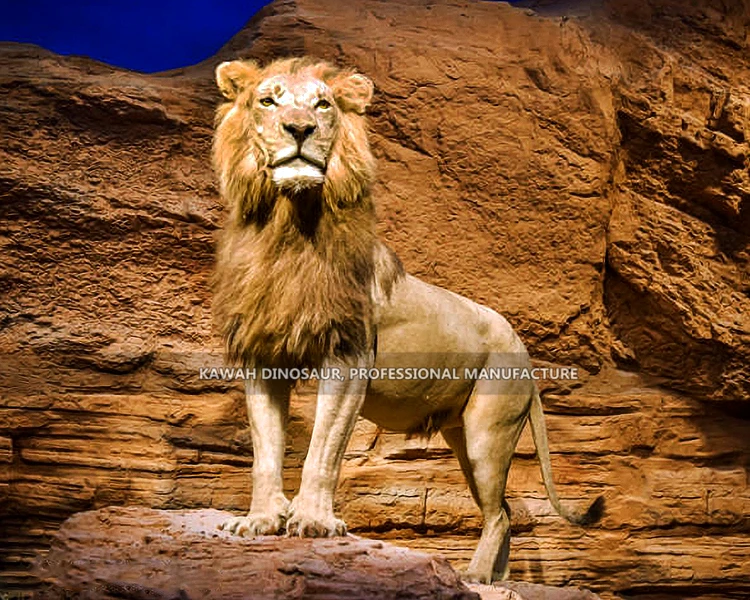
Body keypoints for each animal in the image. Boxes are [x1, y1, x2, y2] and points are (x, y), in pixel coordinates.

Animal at [211, 56, 603, 583]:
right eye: (267, 101)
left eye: (323, 105)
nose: (299, 129)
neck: (289, 231)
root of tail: (525, 353)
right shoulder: (262, 353)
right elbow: (266, 451)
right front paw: (261, 521)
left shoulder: (349, 355)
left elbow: (323, 450)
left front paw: (313, 522)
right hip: (463, 436)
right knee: (502, 512)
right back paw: (494, 581)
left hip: (489, 431)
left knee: (500, 514)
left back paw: (474, 578)